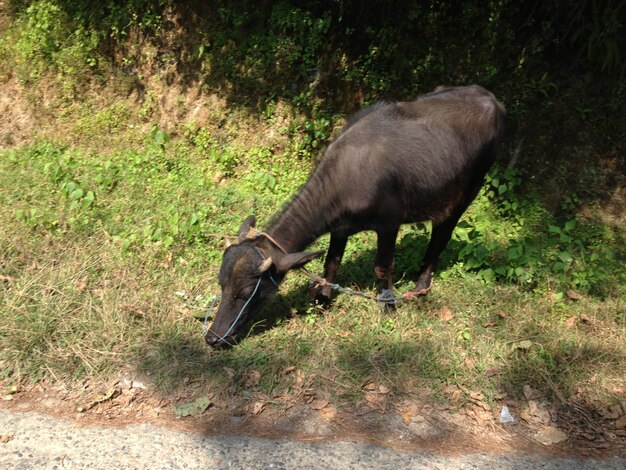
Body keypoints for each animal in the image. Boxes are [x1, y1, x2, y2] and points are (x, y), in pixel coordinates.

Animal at [207, 85, 504, 348]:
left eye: (245, 293)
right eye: (221, 285)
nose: (213, 337)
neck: (347, 175)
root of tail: (492, 99)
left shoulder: (389, 223)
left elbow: (382, 267)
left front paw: (389, 305)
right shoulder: (340, 228)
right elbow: (331, 263)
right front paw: (322, 299)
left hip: (467, 192)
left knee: (441, 236)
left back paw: (421, 286)